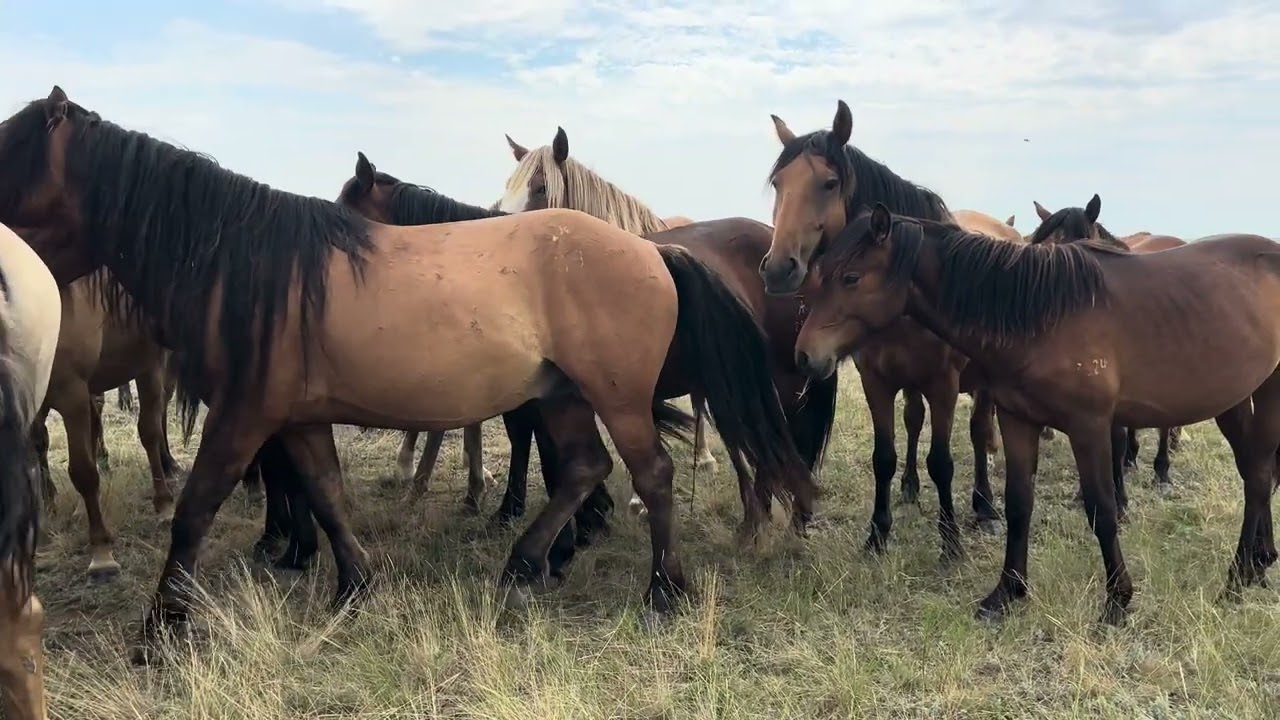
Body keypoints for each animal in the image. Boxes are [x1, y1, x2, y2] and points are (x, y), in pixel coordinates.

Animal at [28, 269, 182, 582]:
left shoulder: (71, 391)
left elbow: (83, 472)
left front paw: (101, 554)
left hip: (148, 363)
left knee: (149, 431)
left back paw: (164, 502)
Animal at [763, 99, 1010, 563]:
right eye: (777, 184)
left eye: (829, 182)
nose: (777, 269)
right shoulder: (876, 380)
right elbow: (884, 456)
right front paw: (877, 534)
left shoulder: (944, 384)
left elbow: (943, 462)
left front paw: (950, 542)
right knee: (913, 421)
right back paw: (911, 488)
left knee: (979, 432)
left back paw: (984, 505)